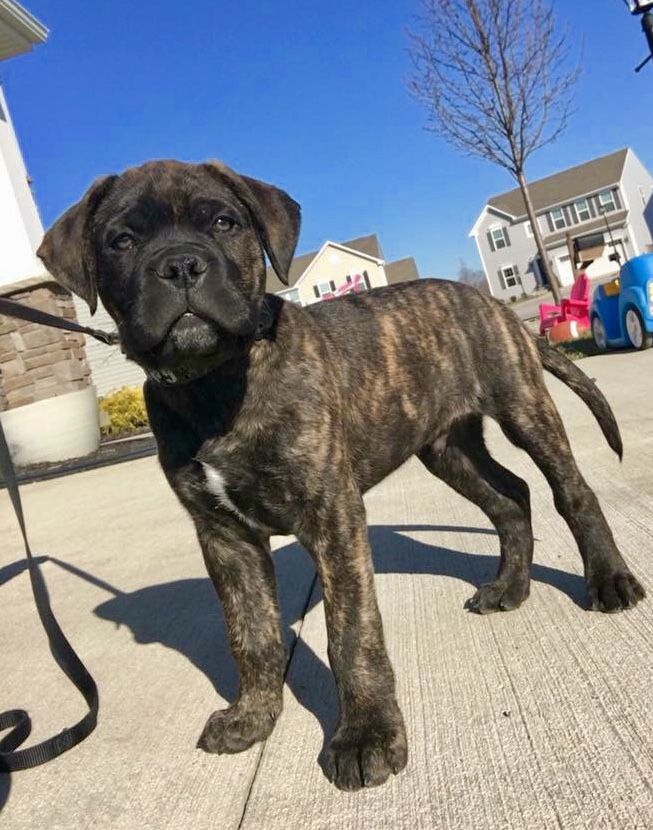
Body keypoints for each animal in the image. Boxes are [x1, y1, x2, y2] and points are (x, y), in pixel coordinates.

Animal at [38, 161, 644, 792]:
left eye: (225, 222)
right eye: (122, 241)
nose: (180, 265)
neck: (215, 385)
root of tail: (495, 305)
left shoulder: (331, 514)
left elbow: (350, 632)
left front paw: (367, 736)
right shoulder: (224, 537)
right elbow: (250, 633)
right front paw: (253, 716)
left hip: (523, 408)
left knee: (570, 491)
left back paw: (609, 581)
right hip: (447, 448)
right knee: (510, 496)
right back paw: (509, 588)